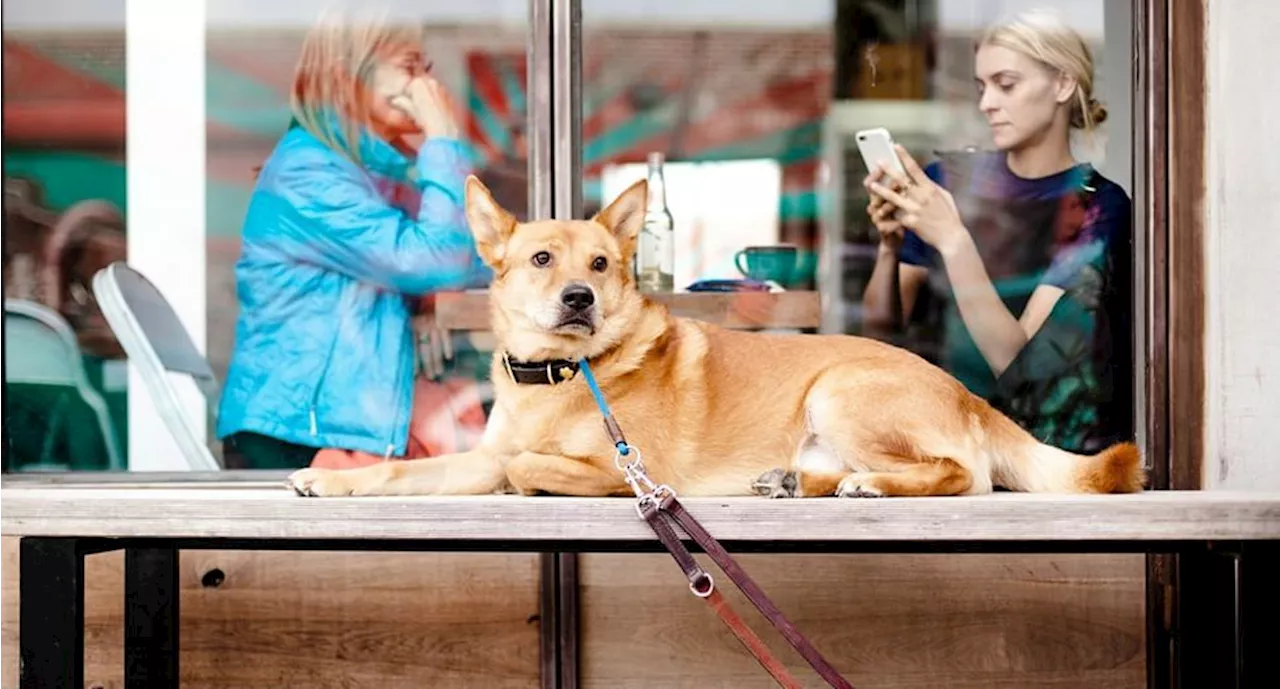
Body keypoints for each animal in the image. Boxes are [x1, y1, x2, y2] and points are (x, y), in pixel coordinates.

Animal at [285, 175, 1146, 499]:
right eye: (540, 258)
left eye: (601, 263)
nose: (579, 296)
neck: (562, 376)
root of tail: (967, 394)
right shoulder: (475, 454)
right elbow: (408, 471)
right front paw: (336, 481)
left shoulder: (626, 469)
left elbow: (527, 464)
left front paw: (528, 476)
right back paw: (798, 482)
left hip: (840, 389)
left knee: (963, 474)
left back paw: (869, 485)